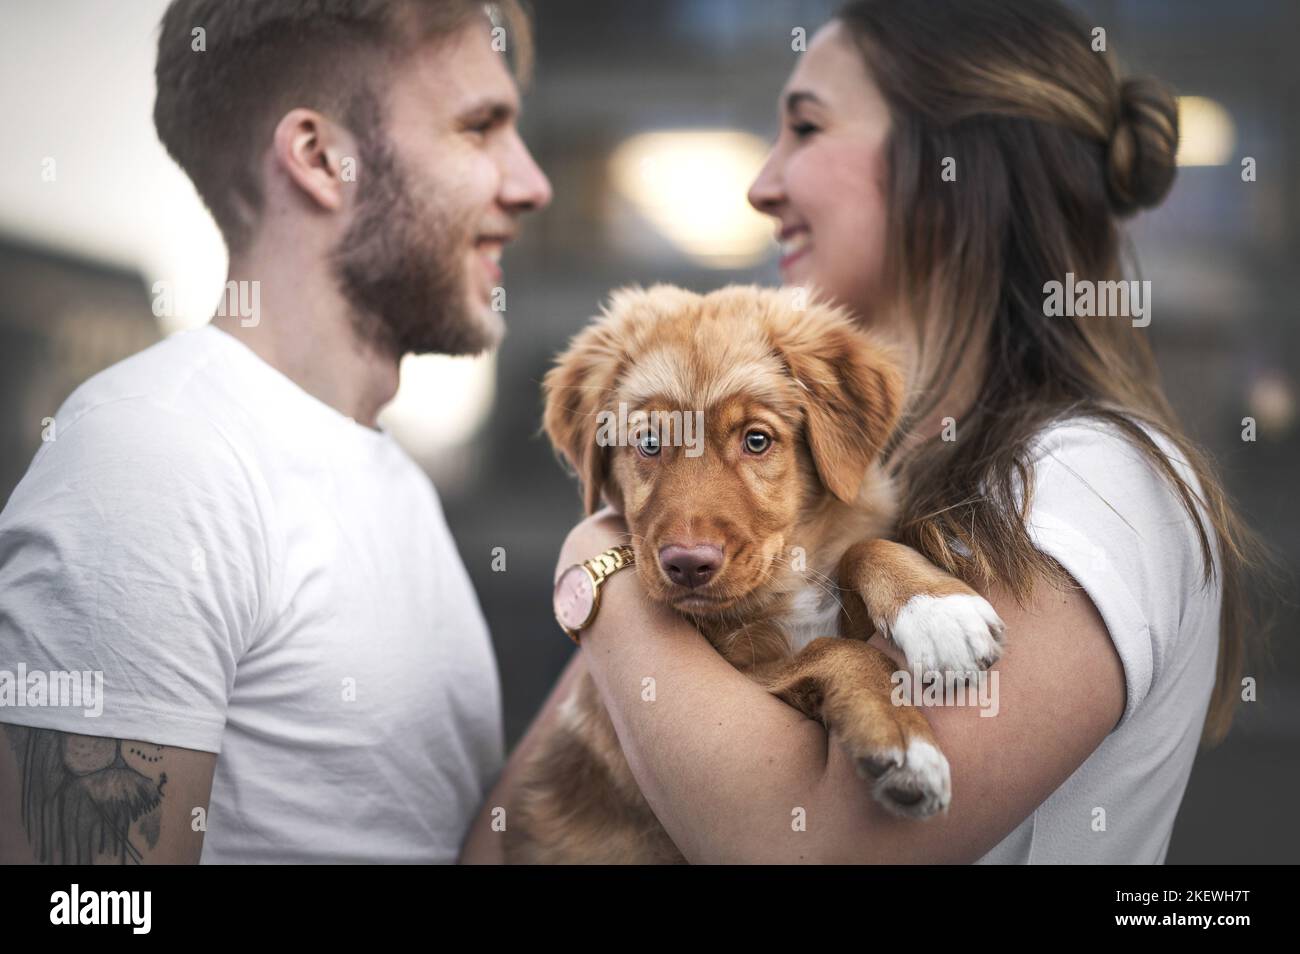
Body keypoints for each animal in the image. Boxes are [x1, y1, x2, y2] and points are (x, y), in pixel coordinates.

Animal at [506, 283, 1003, 868]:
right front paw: (902, 736)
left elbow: (863, 547)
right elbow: (833, 649)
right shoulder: (747, 680)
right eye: (648, 443)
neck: (785, 581)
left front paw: (935, 609)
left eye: (757, 440)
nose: (688, 564)